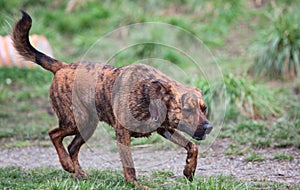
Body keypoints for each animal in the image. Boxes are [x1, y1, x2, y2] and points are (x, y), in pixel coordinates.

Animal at [12, 11, 213, 188]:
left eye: (204, 108)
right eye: (187, 110)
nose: (209, 127)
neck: (150, 95)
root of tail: (63, 67)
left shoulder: (165, 129)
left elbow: (192, 146)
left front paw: (189, 170)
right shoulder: (122, 133)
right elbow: (129, 165)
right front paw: (135, 185)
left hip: (87, 126)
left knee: (72, 147)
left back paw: (78, 173)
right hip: (74, 122)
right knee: (54, 135)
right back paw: (67, 165)